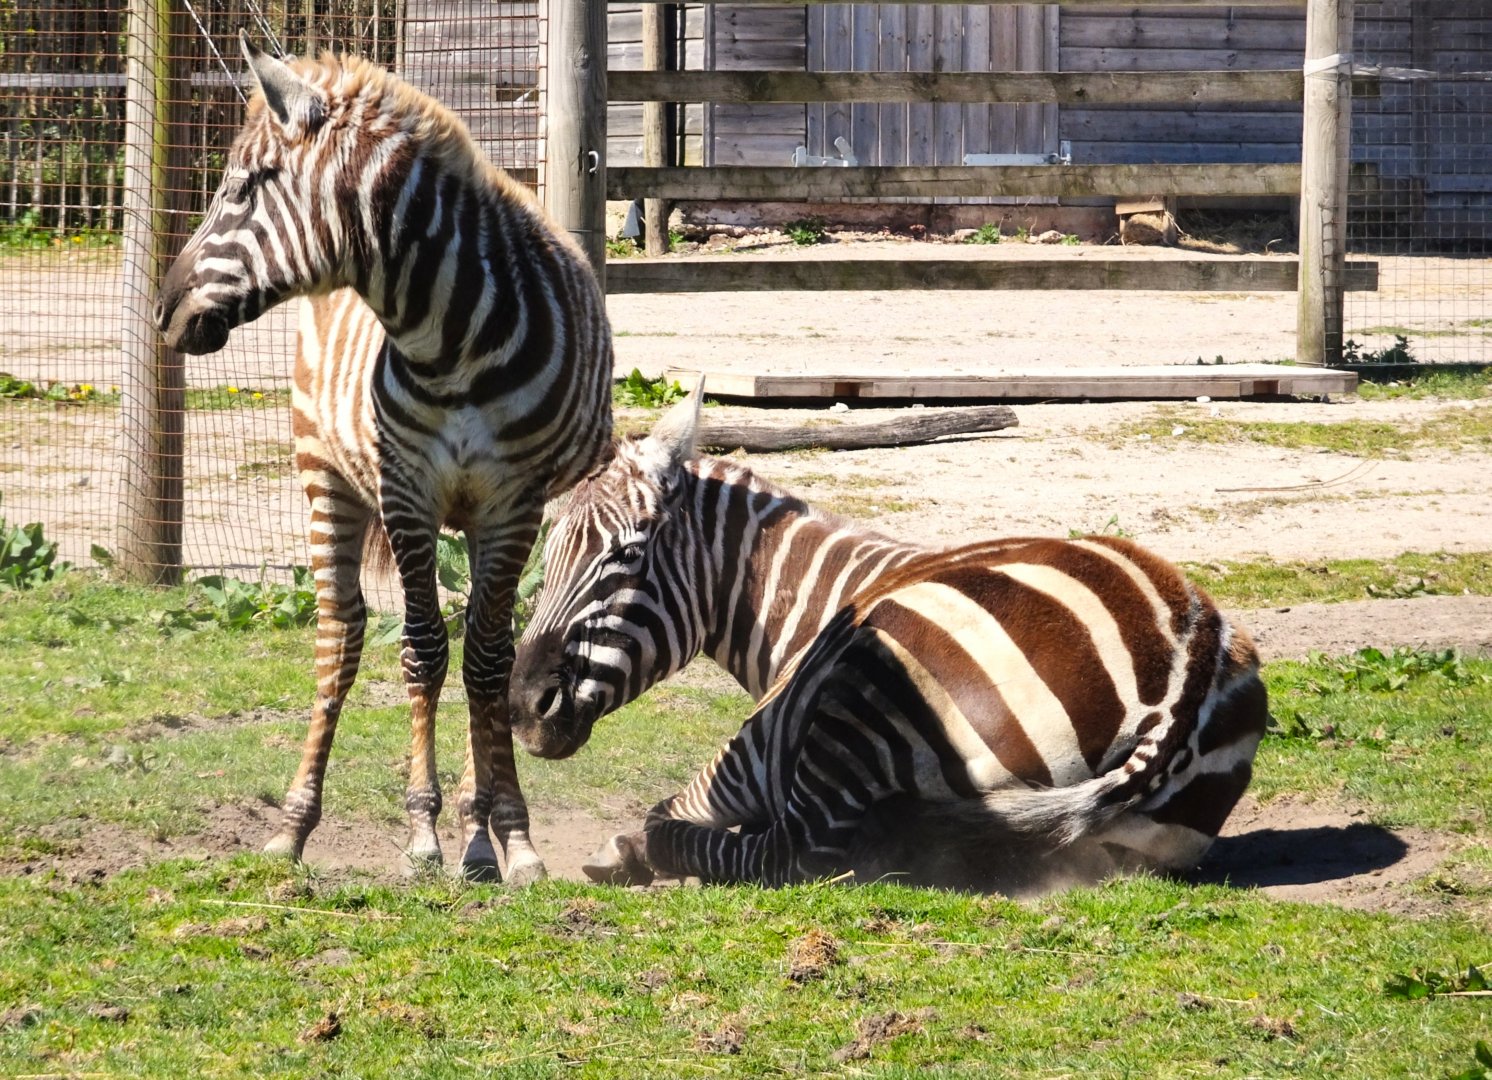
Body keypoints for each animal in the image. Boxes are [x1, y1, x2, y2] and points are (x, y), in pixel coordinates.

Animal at [154, 37, 613, 882]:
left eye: (242, 188)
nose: (165, 312)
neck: (456, 343)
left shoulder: (513, 501)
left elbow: (487, 665)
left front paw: (509, 835)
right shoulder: (407, 491)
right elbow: (423, 652)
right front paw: (421, 830)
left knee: (489, 652)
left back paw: (479, 831)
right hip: (325, 475)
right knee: (342, 640)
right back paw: (296, 825)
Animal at [509, 390, 1268, 890]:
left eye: (627, 557)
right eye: (545, 557)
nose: (523, 708)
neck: (813, 601)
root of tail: (1187, 658)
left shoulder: (753, 749)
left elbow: (669, 811)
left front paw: (626, 848)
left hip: (861, 694)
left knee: (787, 853)